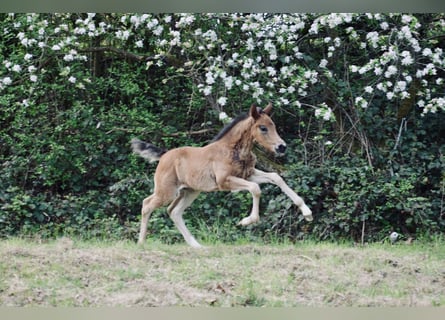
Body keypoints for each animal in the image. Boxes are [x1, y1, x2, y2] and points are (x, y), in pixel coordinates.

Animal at [132, 104, 312, 249]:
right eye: (263, 128)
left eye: (273, 125)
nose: (281, 147)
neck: (234, 150)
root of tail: (163, 155)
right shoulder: (225, 181)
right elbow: (255, 189)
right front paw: (246, 221)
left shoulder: (249, 174)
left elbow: (276, 177)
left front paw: (307, 212)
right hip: (166, 191)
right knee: (147, 204)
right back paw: (141, 242)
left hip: (190, 191)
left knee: (174, 211)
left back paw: (196, 245)